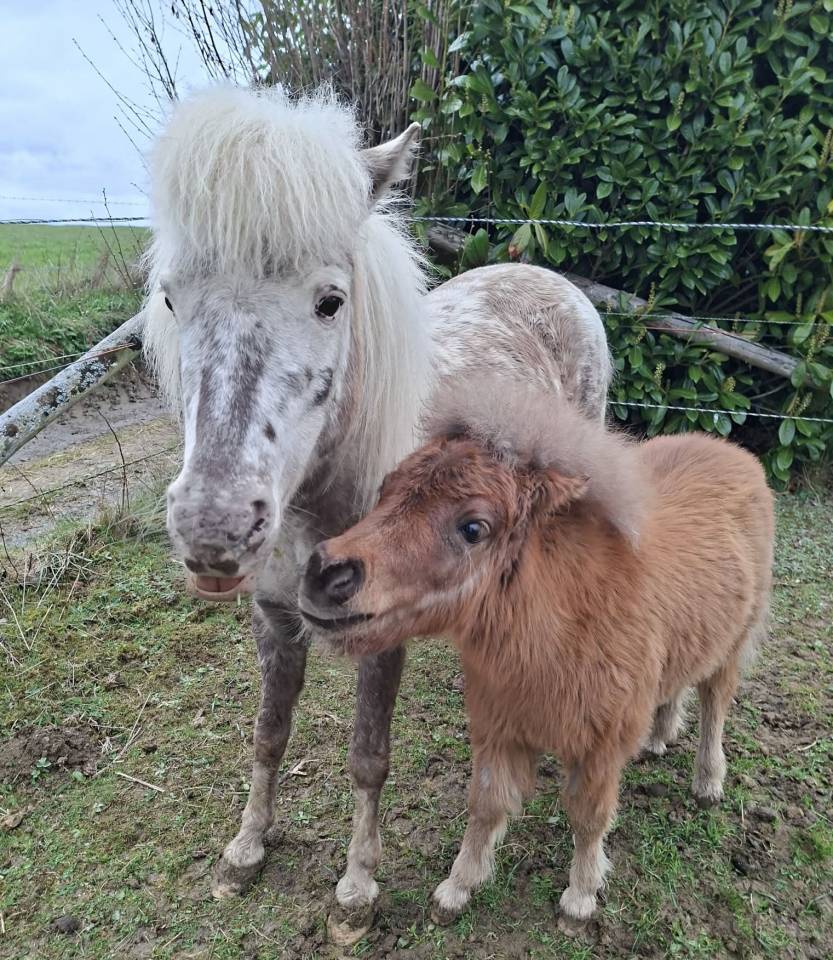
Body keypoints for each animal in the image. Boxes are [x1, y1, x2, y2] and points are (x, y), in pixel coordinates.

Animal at [142, 85, 611, 943]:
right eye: (170, 297)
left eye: (331, 301)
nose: (213, 529)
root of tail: (546, 276)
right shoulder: (270, 616)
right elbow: (268, 733)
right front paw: (244, 850)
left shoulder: (379, 638)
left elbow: (368, 757)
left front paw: (356, 890)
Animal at [300, 376, 774, 927]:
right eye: (386, 489)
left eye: (474, 527)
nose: (325, 575)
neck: (561, 628)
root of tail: (735, 454)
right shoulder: (499, 728)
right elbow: (486, 804)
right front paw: (457, 887)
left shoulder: (600, 748)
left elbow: (588, 817)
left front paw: (580, 897)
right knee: (675, 686)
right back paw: (658, 738)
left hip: (733, 647)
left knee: (715, 705)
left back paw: (707, 783)